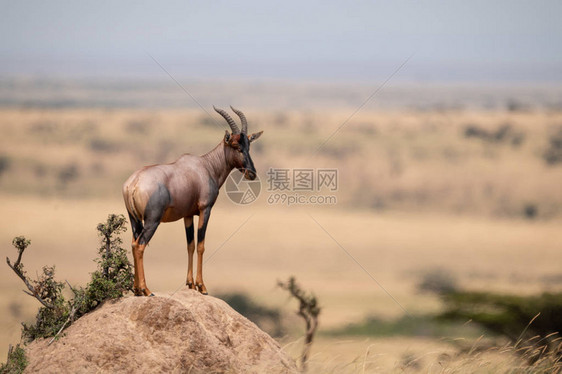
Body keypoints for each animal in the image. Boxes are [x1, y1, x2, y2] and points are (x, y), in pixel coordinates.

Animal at [121, 106, 262, 296]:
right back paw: (146, 290)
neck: (206, 166)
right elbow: (201, 245)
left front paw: (190, 284)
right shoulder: (205, 209)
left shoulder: (187, 215)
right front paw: (202, 286)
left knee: (133, 243)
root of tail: (134, 183)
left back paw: (136, 290)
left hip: (134, 220)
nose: (251, 173)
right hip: (152, 220)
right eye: (235, 145)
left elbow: (191, 245)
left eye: (248, 145)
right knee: (140, 245)